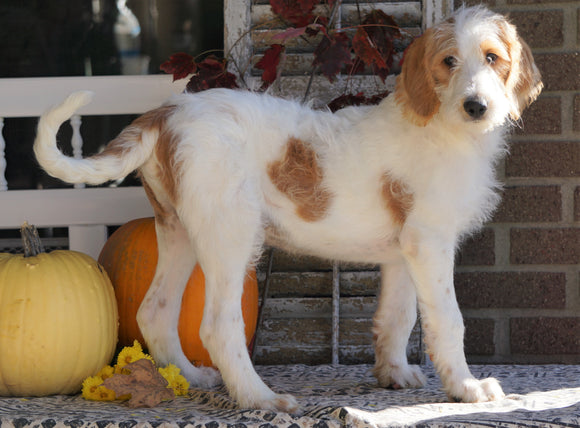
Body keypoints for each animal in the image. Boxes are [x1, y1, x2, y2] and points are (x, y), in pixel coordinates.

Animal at [35, 5, 544, 412]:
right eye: (448, 62)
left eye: (493, 58)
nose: (476, 106)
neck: (441, 125)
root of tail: (166, 114)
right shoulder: (430, 242)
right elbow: (447, 320)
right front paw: (467, 388)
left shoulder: (405, 251)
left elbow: (397, 317)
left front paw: (394, 374)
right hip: (230, 233)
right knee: (217, 326)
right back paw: (260, 398)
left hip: (178, 228)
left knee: (155, 312)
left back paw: (194, 378)